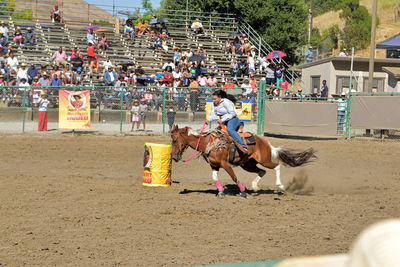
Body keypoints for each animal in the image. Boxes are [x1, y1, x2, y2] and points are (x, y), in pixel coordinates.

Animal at [170, 124, 318, 198]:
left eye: (175, 140)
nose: (174, 157)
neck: (209, 142)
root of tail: (265, 142)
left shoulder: (225, 164)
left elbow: (234, 177)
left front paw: (242, 191)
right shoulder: (214, 165)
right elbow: (214, 178)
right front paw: (221, 192)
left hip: (264, 160)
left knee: (276, 166)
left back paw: (280, 186)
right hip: (247, 164)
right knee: (262, 171)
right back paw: (255, 187)